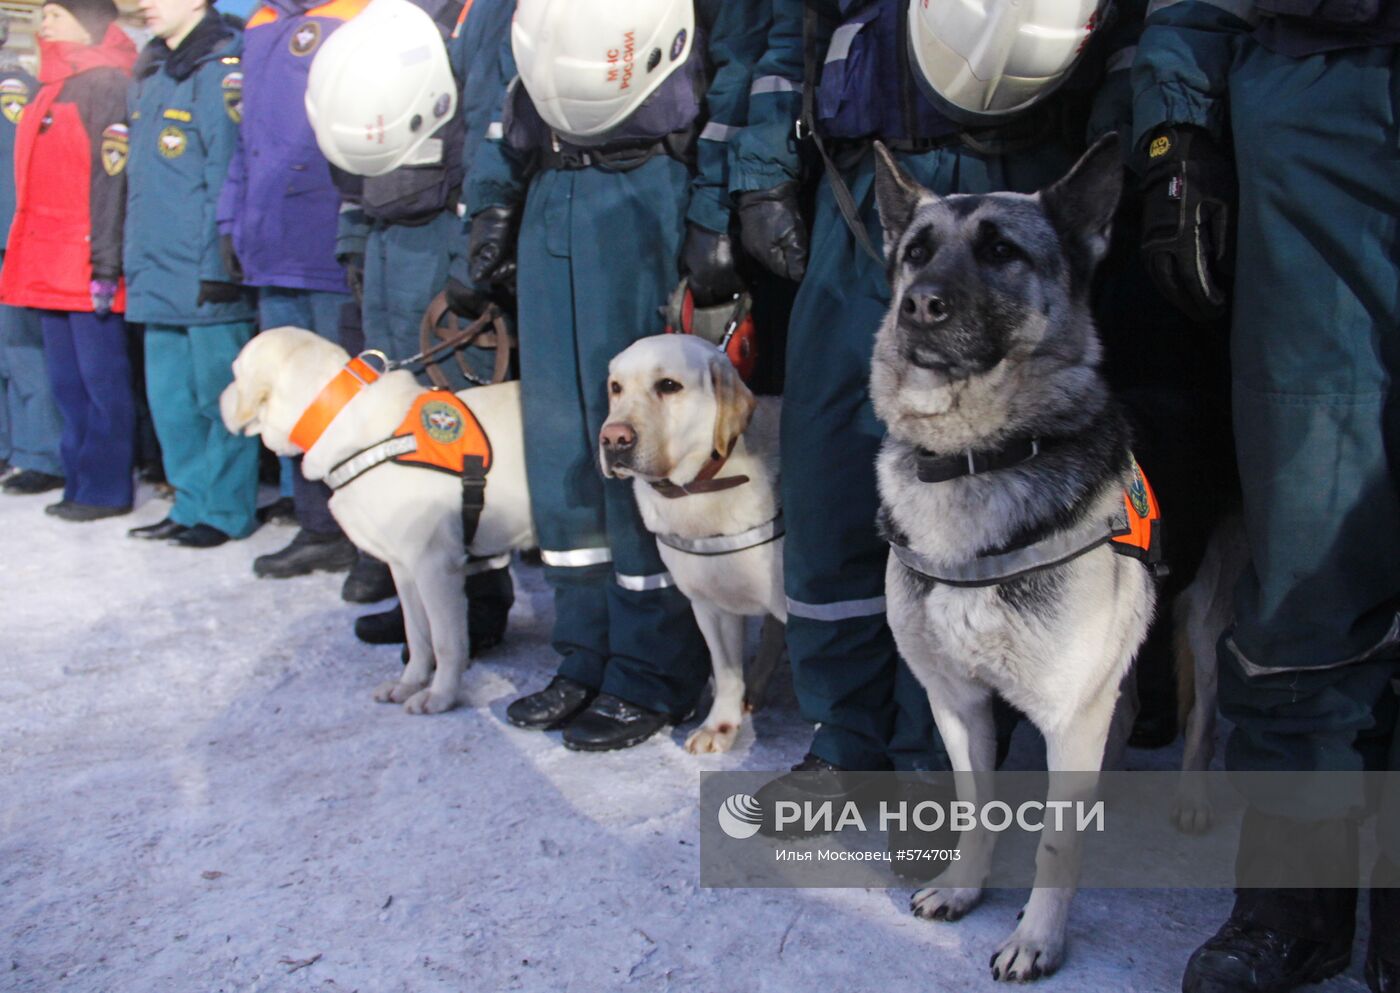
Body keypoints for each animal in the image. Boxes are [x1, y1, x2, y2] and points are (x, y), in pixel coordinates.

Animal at [221, 327, 532, 711]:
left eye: (235, 373)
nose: (219, 398)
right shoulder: (404, 568)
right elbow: (418, 635)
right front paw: (409, 683)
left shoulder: (435, 564)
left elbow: (445, 642)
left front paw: (440, 696)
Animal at [596, 334, 784, 750]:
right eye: (616, 388)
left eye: (669, 385)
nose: (613, 438)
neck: (703, 486)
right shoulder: (710, 605)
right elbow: (727, 672)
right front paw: (721, 726)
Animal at [873, 135, 1159, 980]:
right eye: (915, 252)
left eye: (1001, 250)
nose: (918, 305)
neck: (974, 458)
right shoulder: (957, 703)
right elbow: (976, 807)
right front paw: (964, 888)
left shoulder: (1068, 716)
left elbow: (1055, 844)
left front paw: (1037, 938)